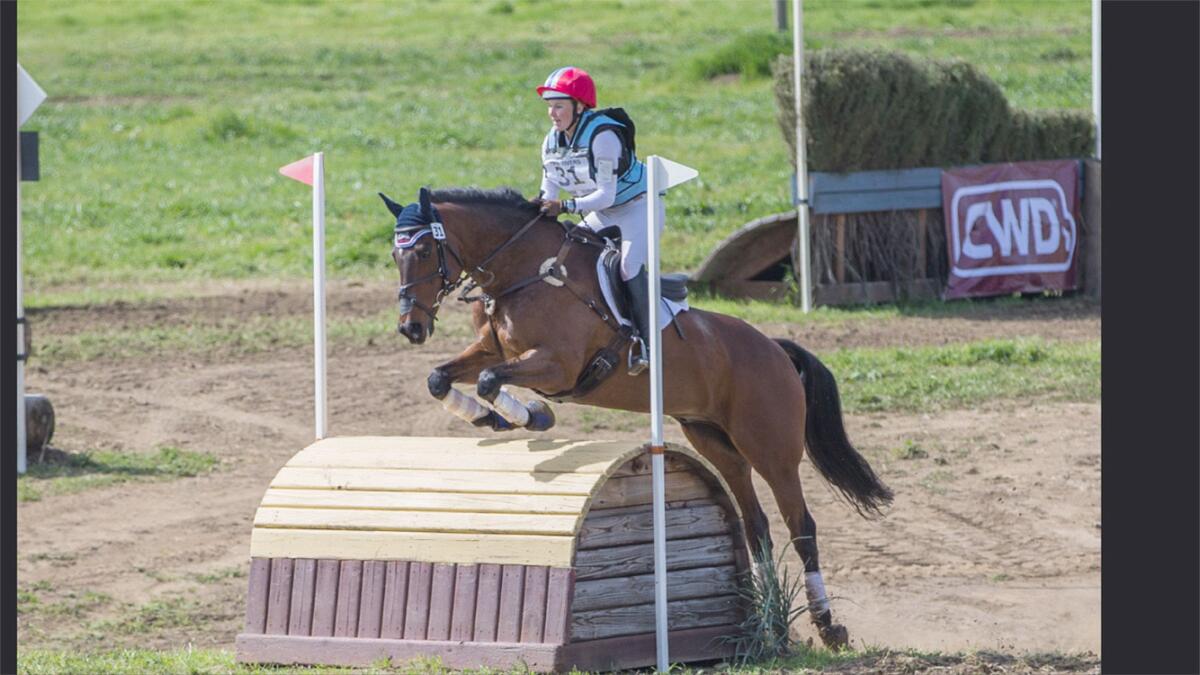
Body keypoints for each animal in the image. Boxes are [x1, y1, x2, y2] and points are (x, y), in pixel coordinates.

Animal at [384, 184, 892, 648]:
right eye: (395, 254)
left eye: (425, 250)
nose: (411, 328)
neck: (525, 272)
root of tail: (776, 349)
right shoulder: (493, 350)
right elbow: (441, 378)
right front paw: (495, 418)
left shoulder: (556, 365)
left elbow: (491, 380)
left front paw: (529, 415)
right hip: (716, 442)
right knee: (757, 526)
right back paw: (771, 626)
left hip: (771, 450)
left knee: (801, 526)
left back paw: (828, 627)